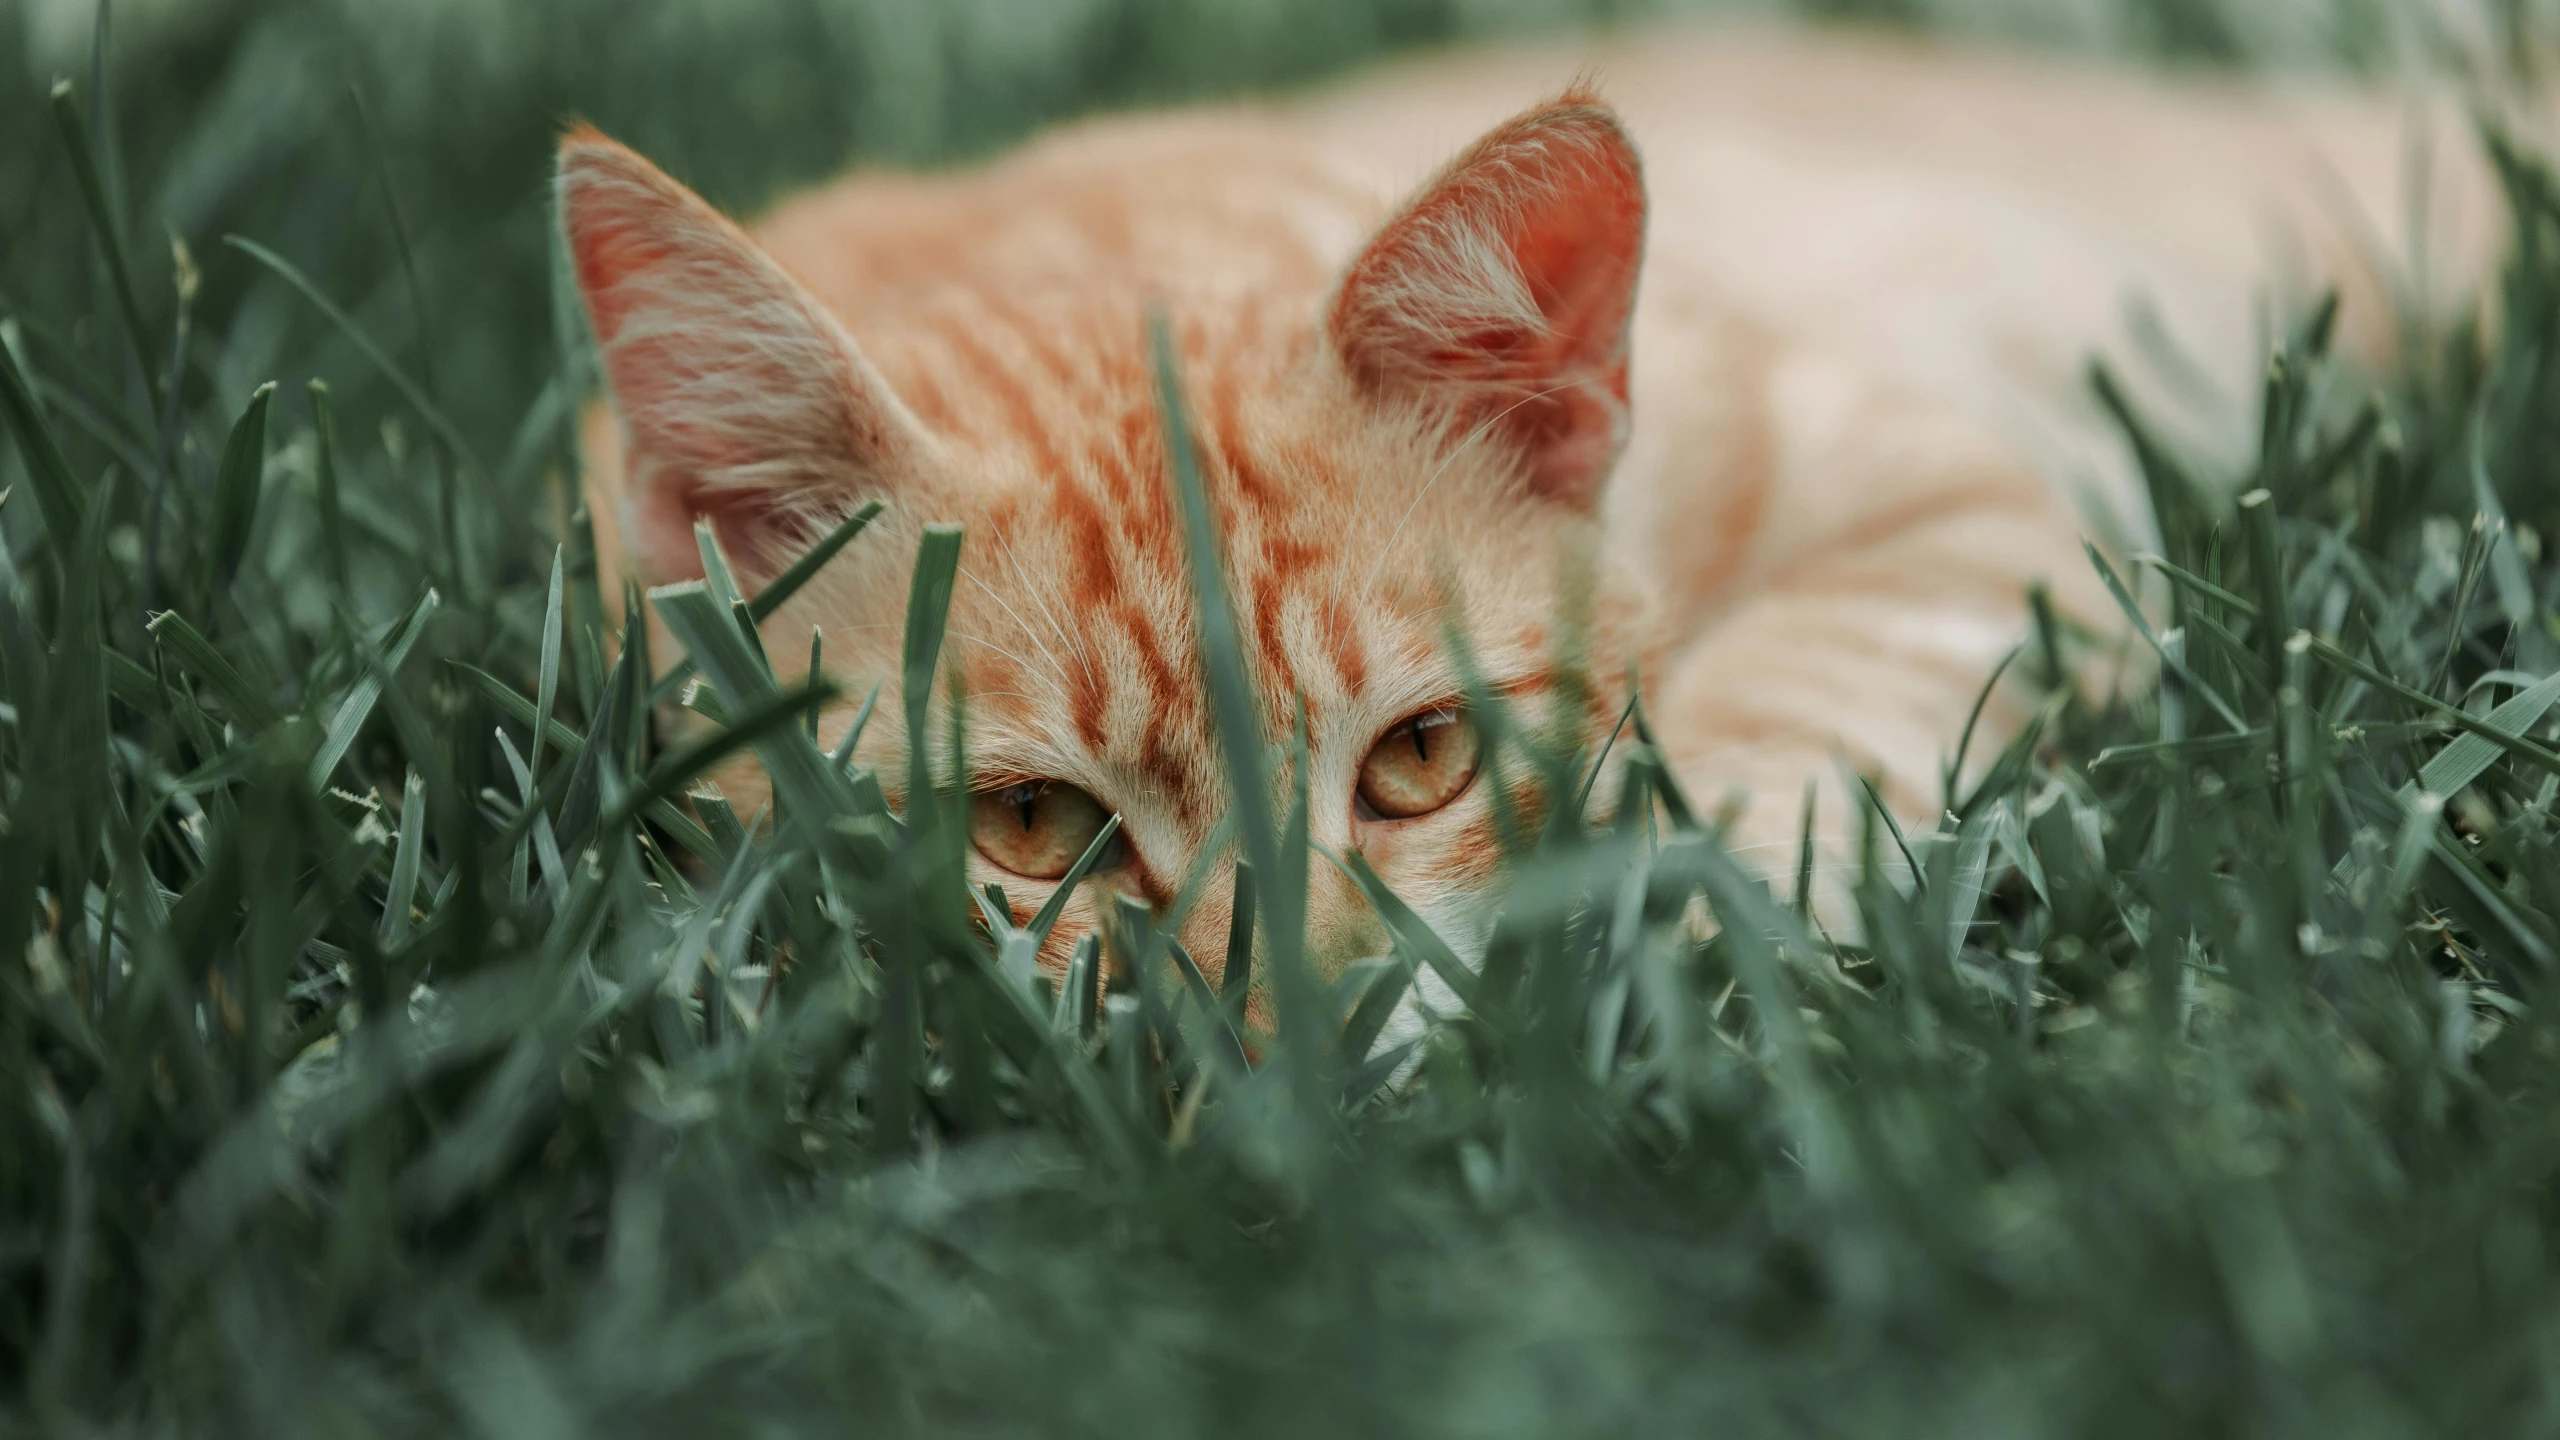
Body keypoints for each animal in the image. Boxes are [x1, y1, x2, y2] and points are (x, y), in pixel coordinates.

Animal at [565, 22, 2498, 1009]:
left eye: (1424, 759)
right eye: (1032, 829)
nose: (1297, 1024)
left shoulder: (1976, 502)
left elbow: (1800, 685)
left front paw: (1666, 931)